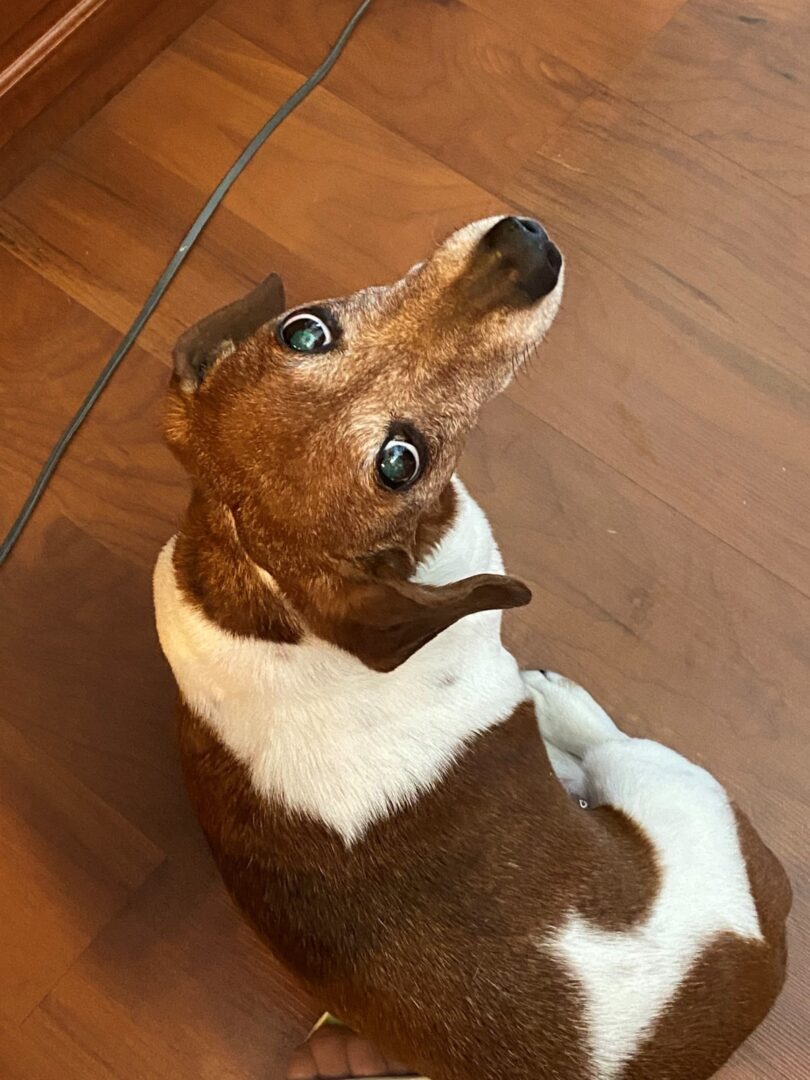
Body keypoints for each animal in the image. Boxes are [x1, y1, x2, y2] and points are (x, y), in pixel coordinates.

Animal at [153, 219, 794, 1080]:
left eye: (305, 330)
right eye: (399, 461)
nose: (522, 248)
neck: (272, 596)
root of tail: (773, 956)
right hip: (669, 779)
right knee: (609, 746)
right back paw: (559, 704)